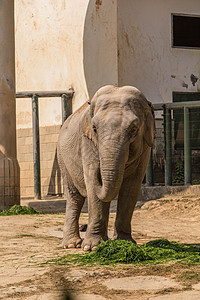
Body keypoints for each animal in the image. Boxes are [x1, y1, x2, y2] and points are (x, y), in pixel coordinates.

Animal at [57, 85, 155, 252]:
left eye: (134, 129)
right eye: (95, 128)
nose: (99, 168)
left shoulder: (145, 148)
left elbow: (131, 188)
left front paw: (125, 243)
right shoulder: (87, 142)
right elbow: (93, 187)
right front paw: (91, 248)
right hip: (62, 159)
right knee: (74, 197)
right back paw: (71, 244)